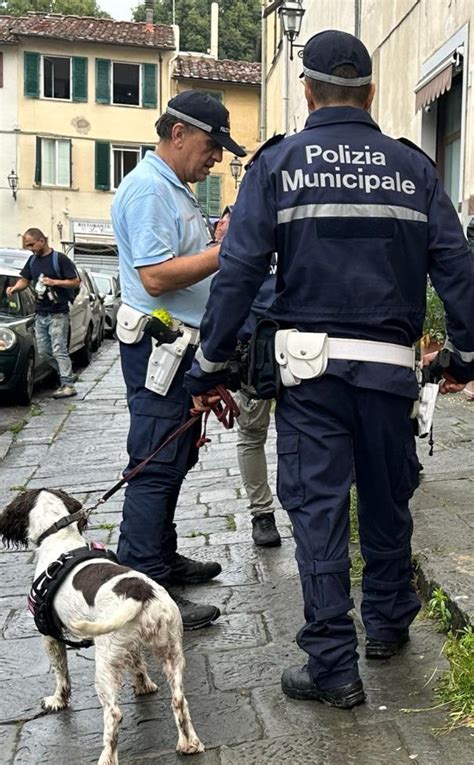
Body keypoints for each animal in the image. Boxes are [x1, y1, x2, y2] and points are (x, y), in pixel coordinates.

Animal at [0, 490, 202, 764]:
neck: (60, 537)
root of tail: (141, 594)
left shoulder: (49, 634)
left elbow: (61, 674)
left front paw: (57, 701)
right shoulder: (132, 646)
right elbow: (138, 666)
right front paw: (144, 687)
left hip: (106, 662)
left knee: (114, 714)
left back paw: (107, 757)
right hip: (170, 650)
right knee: (179, 700)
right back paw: (189, 743)